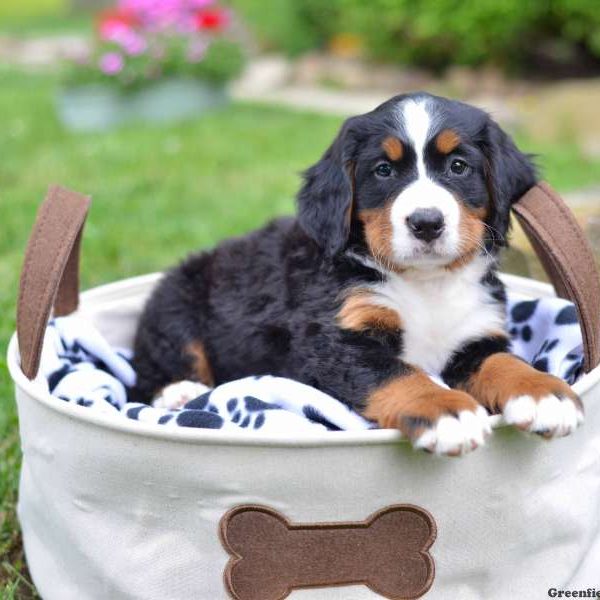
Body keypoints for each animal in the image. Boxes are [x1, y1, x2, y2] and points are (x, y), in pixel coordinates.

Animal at [132, 91, 580, 454]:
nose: (426, 222)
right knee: (151, 370)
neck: (426, 283)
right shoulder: (335, 342)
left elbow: (504, 363)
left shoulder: (474, 335)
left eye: (458, 166)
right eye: (383, 170)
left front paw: (544, 395)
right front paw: (447, 413)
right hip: (176, 302)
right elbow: (399, 374)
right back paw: (180, 393)